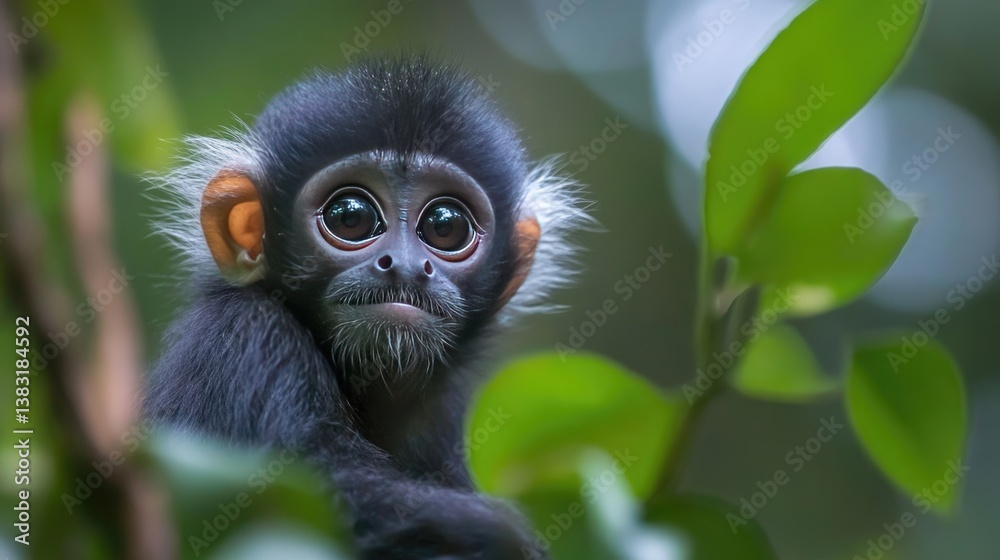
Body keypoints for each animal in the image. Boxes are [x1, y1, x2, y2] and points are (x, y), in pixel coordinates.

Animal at [143, 53, 590, 559]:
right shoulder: (245, 337)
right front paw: (503, 535)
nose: (406, 266)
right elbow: (304, 493)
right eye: (351, 216)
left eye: (446, 225)